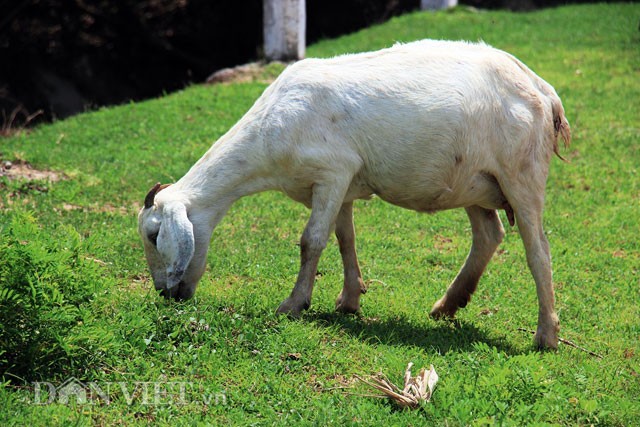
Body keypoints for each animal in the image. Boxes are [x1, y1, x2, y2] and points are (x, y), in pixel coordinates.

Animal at [139, 40, 568, 350]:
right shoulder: (340, 183)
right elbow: (344, 238)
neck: (265, 137)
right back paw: (449, 304)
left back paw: (546, 335)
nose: (166, 293)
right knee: (489, 235)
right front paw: (349, 299)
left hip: (522, 173)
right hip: (475, 182)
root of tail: (543, 89)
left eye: (152, 234)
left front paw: (294, 304)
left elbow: (311, 241)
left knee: (538, 250)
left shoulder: (333, 172)